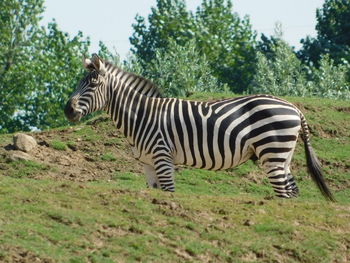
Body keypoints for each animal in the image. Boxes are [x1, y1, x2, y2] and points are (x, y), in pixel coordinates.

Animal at [64, 54, 334, 202]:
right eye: (79, 82)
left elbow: (170, 192)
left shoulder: (162, 157)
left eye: (93, 84)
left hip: (273, 152)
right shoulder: (148, 164)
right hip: (282, 155)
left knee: (284, 192)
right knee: (292, 190)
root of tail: (294, 108)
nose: (67, 110)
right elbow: (157, 194)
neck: (141, 116)